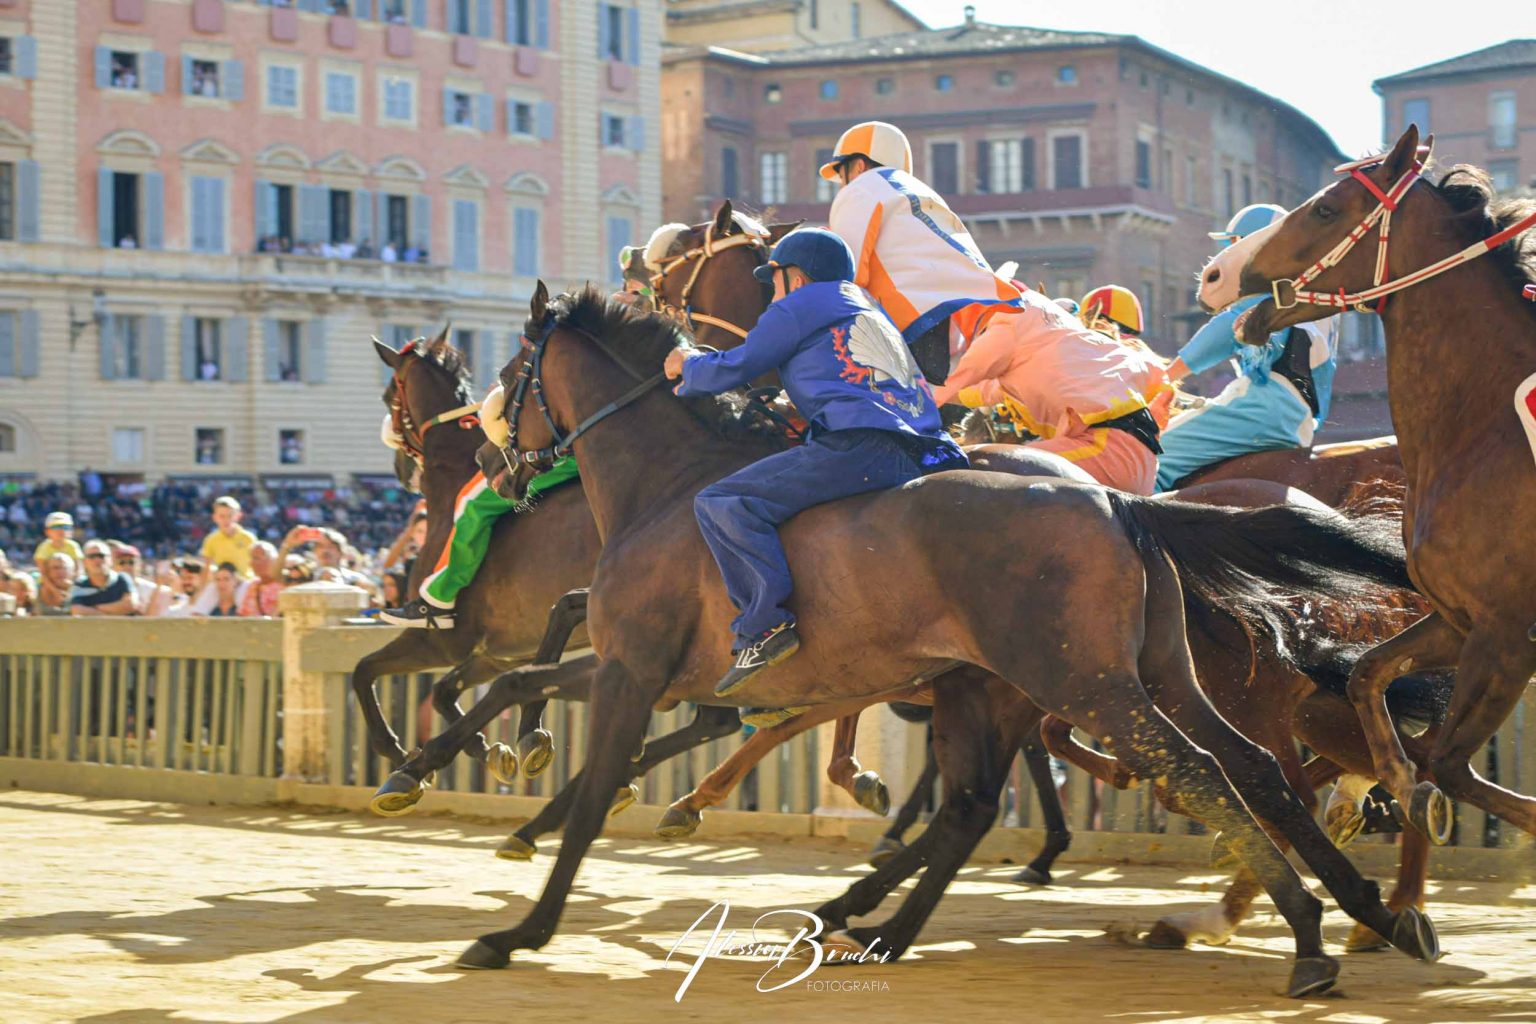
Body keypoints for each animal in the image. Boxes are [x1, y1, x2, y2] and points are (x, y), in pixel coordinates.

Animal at [384, 284, 1437, 994]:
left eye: (509, 375)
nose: (489, 466)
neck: (670, 483)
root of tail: (1115, 502)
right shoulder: (659, 672)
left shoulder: (633, 667)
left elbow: (586, 777)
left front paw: (517, 919)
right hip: (1125, 674)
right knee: (1221, 770)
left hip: (1084, 685)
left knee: (1198, 774)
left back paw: (1310, 932)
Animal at [1198, 124, 1536, 847]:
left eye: (1327, 209)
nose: (1214, 276)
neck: (1483, 427)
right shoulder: (1461, 621)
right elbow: (1368, 678)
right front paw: (1393, 784)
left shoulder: (1506, 632)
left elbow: (1451, 763)